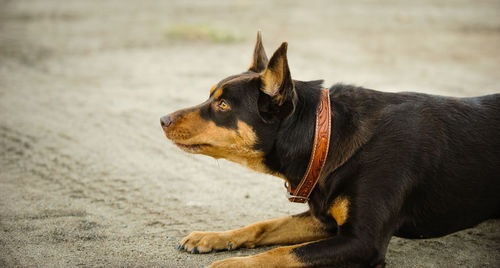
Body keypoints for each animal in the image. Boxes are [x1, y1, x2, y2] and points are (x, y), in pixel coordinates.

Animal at [161, 31, 500, 268]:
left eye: (223, 105)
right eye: (211, 97)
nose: (162, 120)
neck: (324, 135)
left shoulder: (363, 241)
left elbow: (283, 253)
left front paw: (231, 263)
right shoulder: (325, 220)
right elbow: (265, 226)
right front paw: (213, 237)